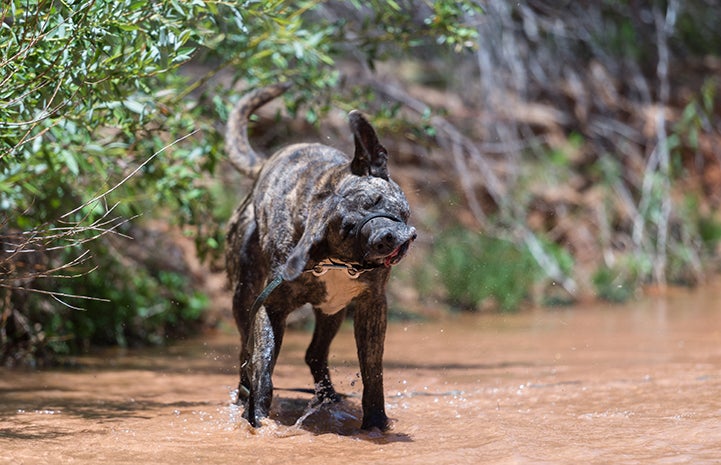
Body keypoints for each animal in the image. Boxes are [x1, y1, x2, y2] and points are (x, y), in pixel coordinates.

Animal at [225, 83, 416, 432]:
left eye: (377, 200)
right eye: (348, 228)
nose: (385, 237)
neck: (336, 262)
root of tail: (265, 163)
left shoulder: (372, 306)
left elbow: (373, 369)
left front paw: (375, 420)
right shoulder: (270, 307)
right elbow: (263, 366)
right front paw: (258, 416)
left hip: (333, 311)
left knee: (314, 353)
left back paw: (327, 397)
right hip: (244, 295)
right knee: (247, 351)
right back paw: (245, 394)